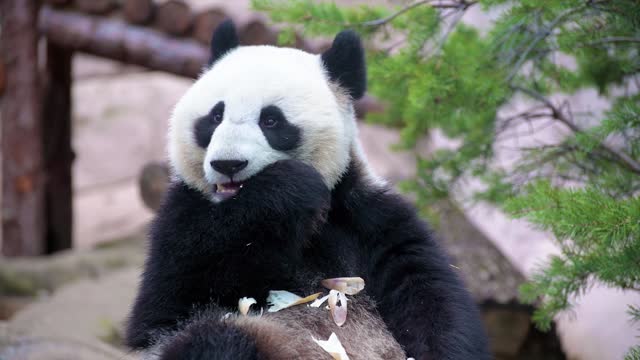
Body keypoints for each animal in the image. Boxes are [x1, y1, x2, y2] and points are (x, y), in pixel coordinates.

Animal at [125, 20, 490, 360]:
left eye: (271, 120)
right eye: (215, 116)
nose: (228, 163)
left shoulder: (370, 219)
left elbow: (428, 293)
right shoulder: (181, 214)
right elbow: (165, 306)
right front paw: (289, 190)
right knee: (213, 339)